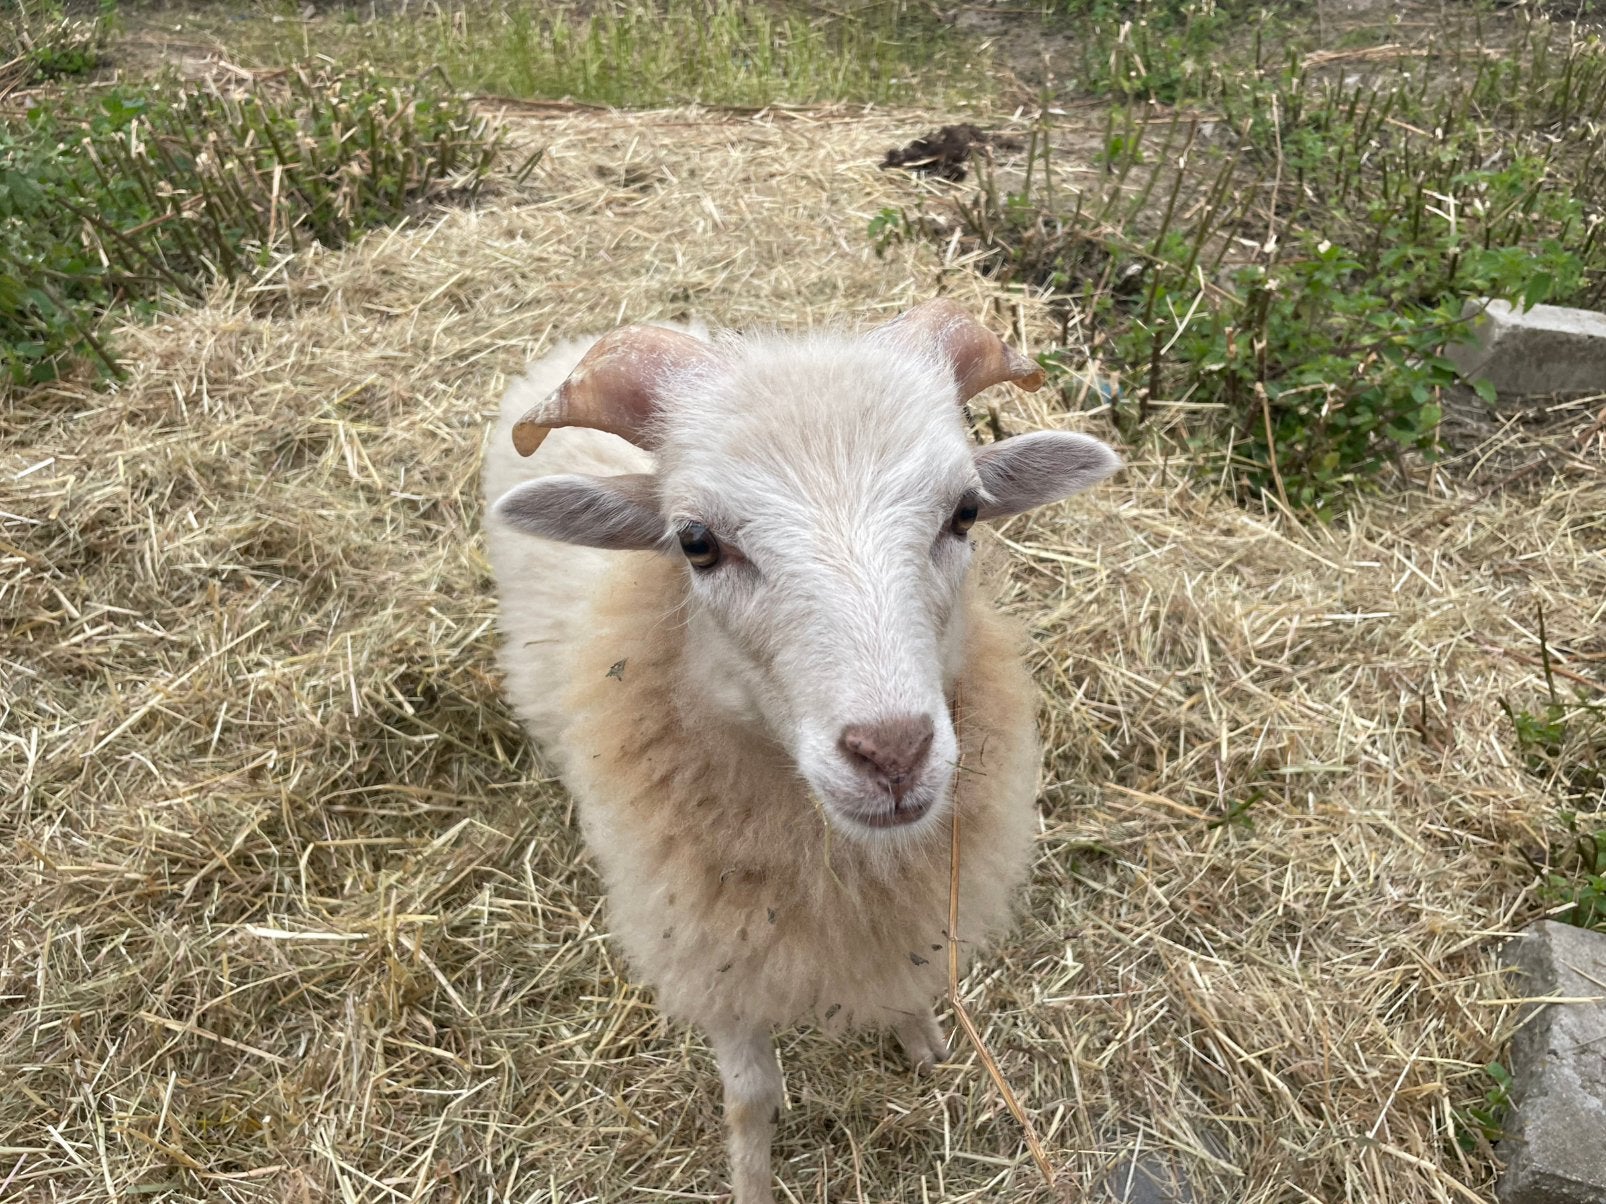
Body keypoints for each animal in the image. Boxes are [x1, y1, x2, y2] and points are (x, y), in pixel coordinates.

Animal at [481, 300, 1121, 1203]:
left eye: (965, 512)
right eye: (696, 541)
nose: (892, 752)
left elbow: (910, 972)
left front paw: (924, 1041)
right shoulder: (713, 953)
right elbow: (748, 1099)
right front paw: (753, 1181)